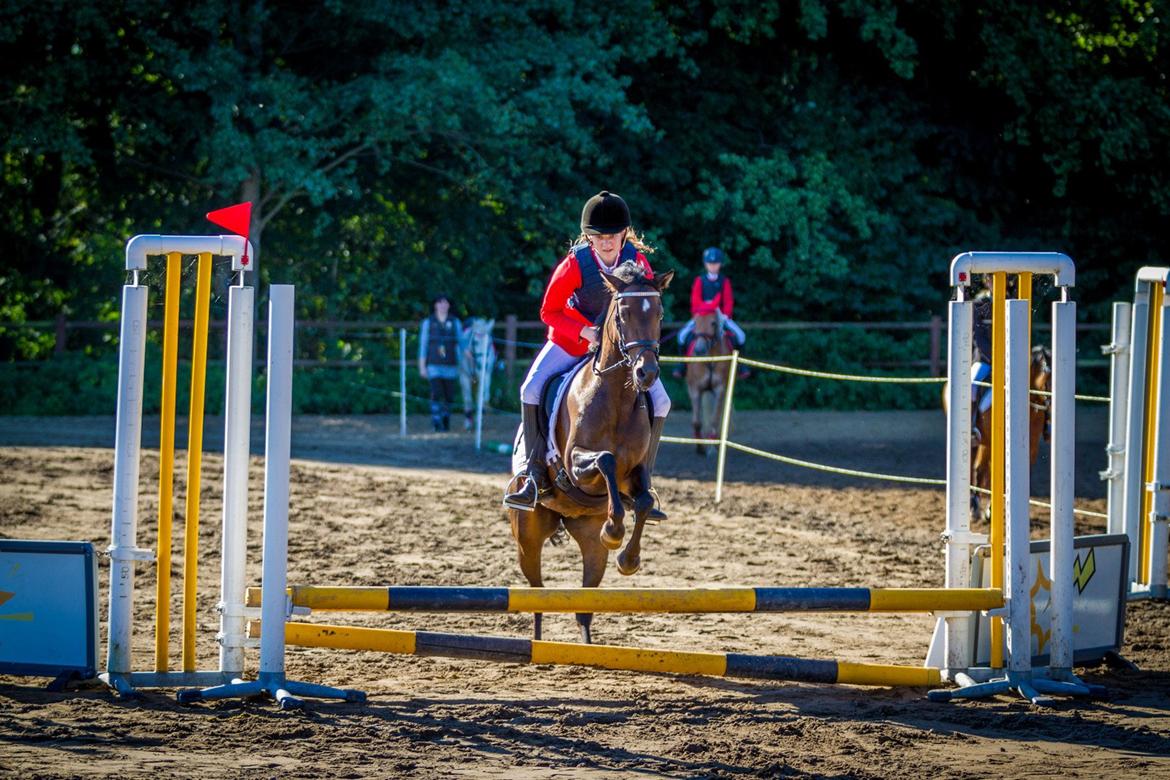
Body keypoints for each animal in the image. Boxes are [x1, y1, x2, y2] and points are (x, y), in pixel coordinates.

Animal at [507, 261, 673, 644]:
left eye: (658, 313)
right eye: (623, 314)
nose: (646, 373)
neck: (616, 397)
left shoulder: (636, 473)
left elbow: (643, 501)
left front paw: (628, 558)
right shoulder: (575, 464)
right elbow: (606, 459)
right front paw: (614, 529)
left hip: (588, 540)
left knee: (584, 605)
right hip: (528, 537)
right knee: (537, 592)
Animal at [684, 311, 732, 455]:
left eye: (713, 323)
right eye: (695, 322)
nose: (699, 350)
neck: (710, 359)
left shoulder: (720, 390)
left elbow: (714, 420)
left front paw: (712, 446)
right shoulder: (695, 389)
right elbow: (696, 422)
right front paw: (700, 446)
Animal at [945, 345, 1051, 522]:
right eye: (1045, 372)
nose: (1050, 404)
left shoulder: (1032, 449)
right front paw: (990, 511)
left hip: (985, 443)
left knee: (980, 470)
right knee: (974, 468)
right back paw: (973, 508)